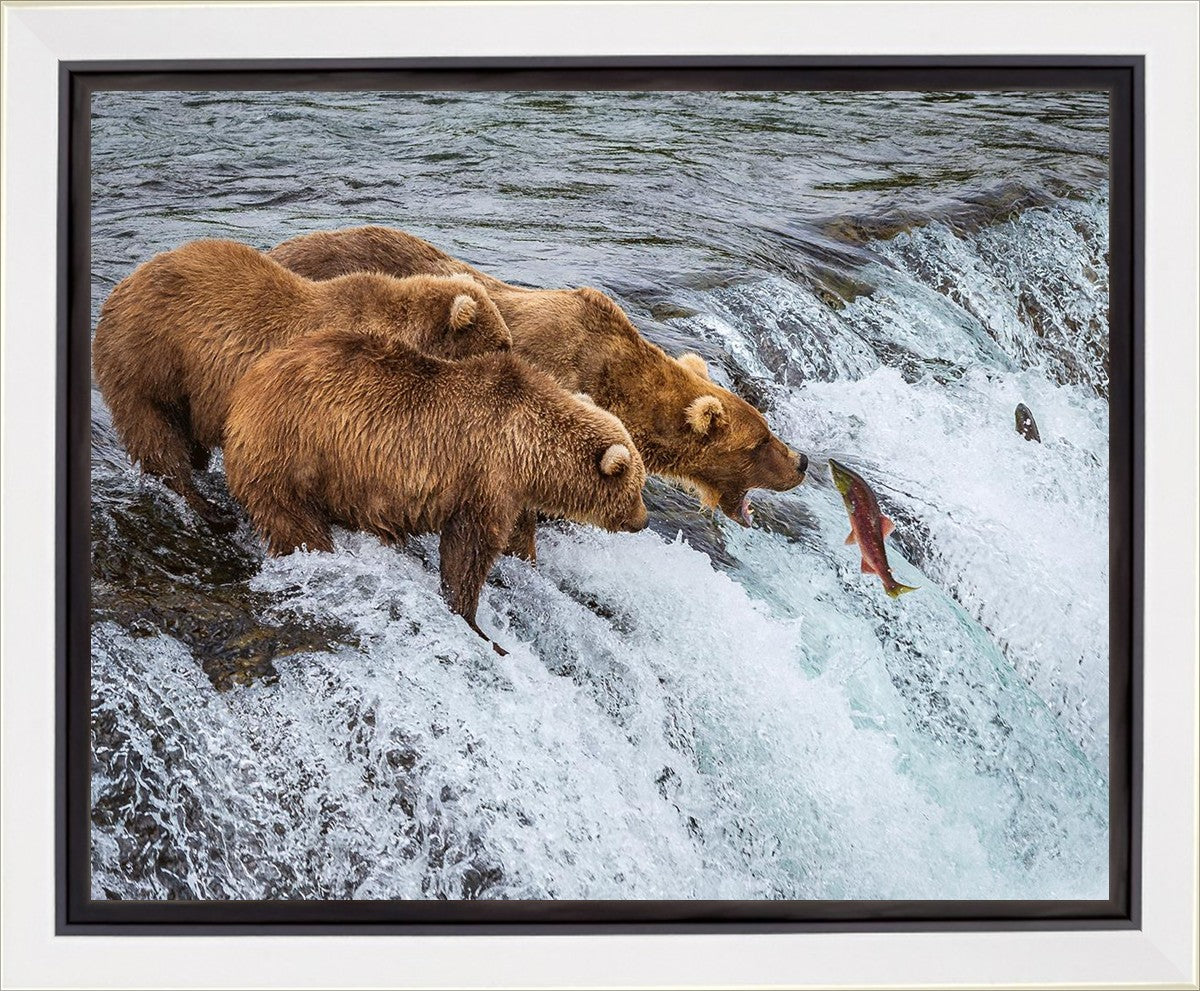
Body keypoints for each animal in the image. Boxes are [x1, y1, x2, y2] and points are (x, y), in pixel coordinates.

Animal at [92, 238, 512, 521]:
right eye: (503, 343)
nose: (515, 362)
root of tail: (120, 288)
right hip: (150, 360)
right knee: (157, 436)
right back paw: (203, 504)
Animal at [223, 328, 649, 653]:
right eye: (636, 488)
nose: (643, 521)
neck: (529, 449)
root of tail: (246, 387)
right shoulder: (485, 475)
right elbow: (468, 550)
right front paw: (475, 622)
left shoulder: (511, 492)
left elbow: (516, 537)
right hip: (293, 453)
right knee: (295, 522)